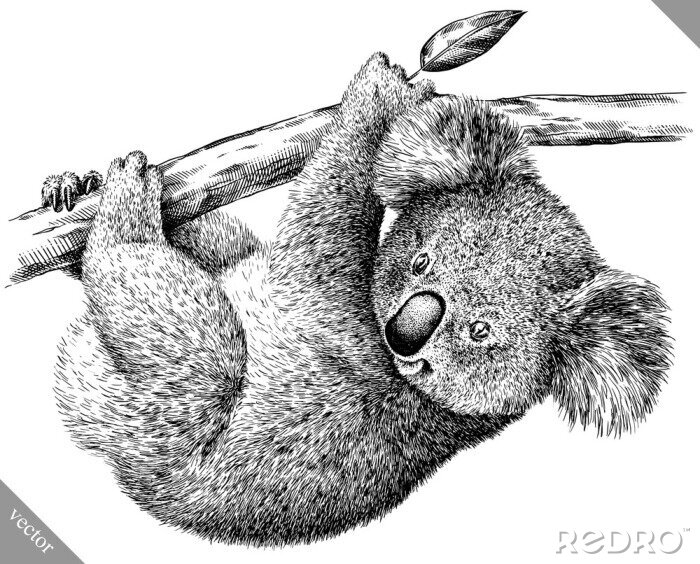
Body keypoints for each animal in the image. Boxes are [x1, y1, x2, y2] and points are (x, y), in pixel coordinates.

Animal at [50, 53, 671, 546]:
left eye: (481, 331)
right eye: (422, 260)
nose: (406, 332)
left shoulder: (332, 320)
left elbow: (320, 223)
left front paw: (381, 88)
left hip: (168, 415)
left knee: (185, 331)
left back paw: (124, 205)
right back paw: (77, 189)